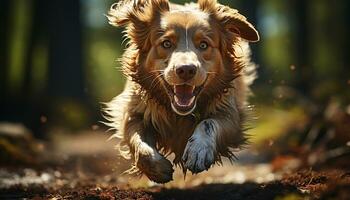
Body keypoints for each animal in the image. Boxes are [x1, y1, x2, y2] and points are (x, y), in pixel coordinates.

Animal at [104, 0, 258, 184]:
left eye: (204, 44)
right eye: (166, 43)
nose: (186, 70)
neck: (179, 115)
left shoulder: (230, 114)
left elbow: (208, 123)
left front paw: (198, 150)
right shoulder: (133, 112)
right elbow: (139, 143)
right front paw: (157, 168)